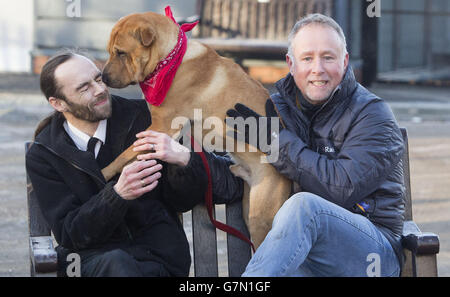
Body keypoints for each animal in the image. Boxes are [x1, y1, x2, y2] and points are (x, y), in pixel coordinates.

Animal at [101, 11, 292, 247]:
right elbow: (133, 155)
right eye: (110, 51)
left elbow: (125, 154)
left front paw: (105, 172)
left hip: (261, 218)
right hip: (249, 208)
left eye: (121, 53)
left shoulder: (161, 126)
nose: (102, 77)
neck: (169, 60)